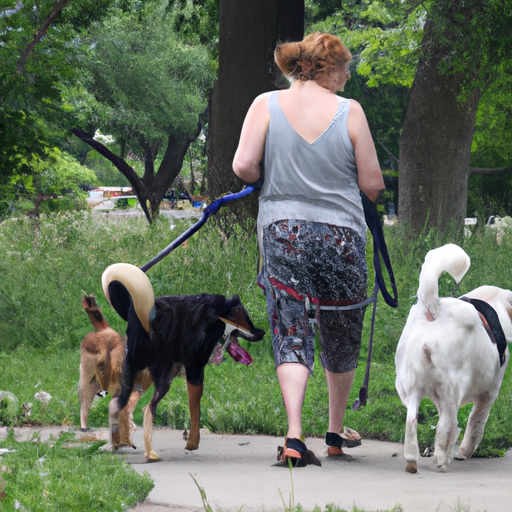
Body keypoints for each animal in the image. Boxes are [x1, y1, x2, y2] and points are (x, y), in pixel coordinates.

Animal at [102, 264, 266, 460]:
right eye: (246, 320)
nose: (262, 333)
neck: (213, 313)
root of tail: (142, 316)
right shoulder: (195, 371)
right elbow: (195, 412)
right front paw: (192, 443)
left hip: (135, 374)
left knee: (118, 405)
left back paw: (117, 444)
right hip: (160, 378)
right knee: (147, 408)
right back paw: (149, 453)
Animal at [396, 244, 508, 472]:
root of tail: (433, 309)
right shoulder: (489, 394)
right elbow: (476, 423)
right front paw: (464, 452)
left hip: (409, 387)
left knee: (412, 420)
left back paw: (412, 458)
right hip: (450, 389)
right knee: (448, 426)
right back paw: (442, 460)